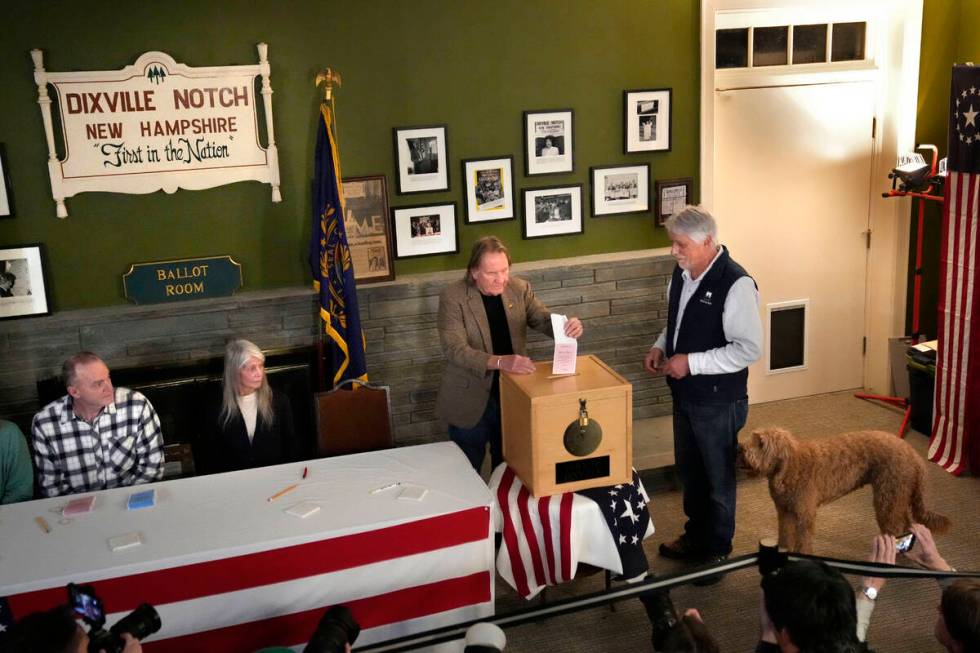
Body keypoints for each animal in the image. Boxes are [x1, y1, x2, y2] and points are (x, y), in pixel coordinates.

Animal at [744, 426, 948, 552]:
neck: (791, 467)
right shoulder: (784, 512)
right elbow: (786, 536)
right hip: (897, 496)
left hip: (888, 497)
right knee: (906, 524)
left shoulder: (805, 515)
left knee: (895, 526)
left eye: (761, 443)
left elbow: (804, 542)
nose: (741, 448)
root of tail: (914, 456)